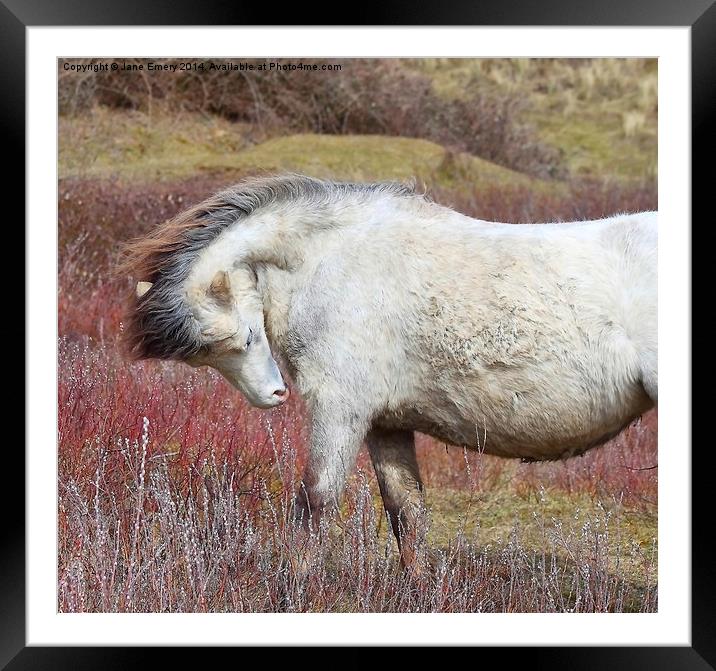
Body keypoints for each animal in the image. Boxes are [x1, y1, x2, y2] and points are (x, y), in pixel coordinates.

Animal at [120, 173, 656, 568]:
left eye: (245, 337)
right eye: (210, 356)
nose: (273, 395)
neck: (332, 260)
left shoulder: (341, 410)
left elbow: (315, 503)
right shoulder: (386, 424)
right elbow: (407, 514)